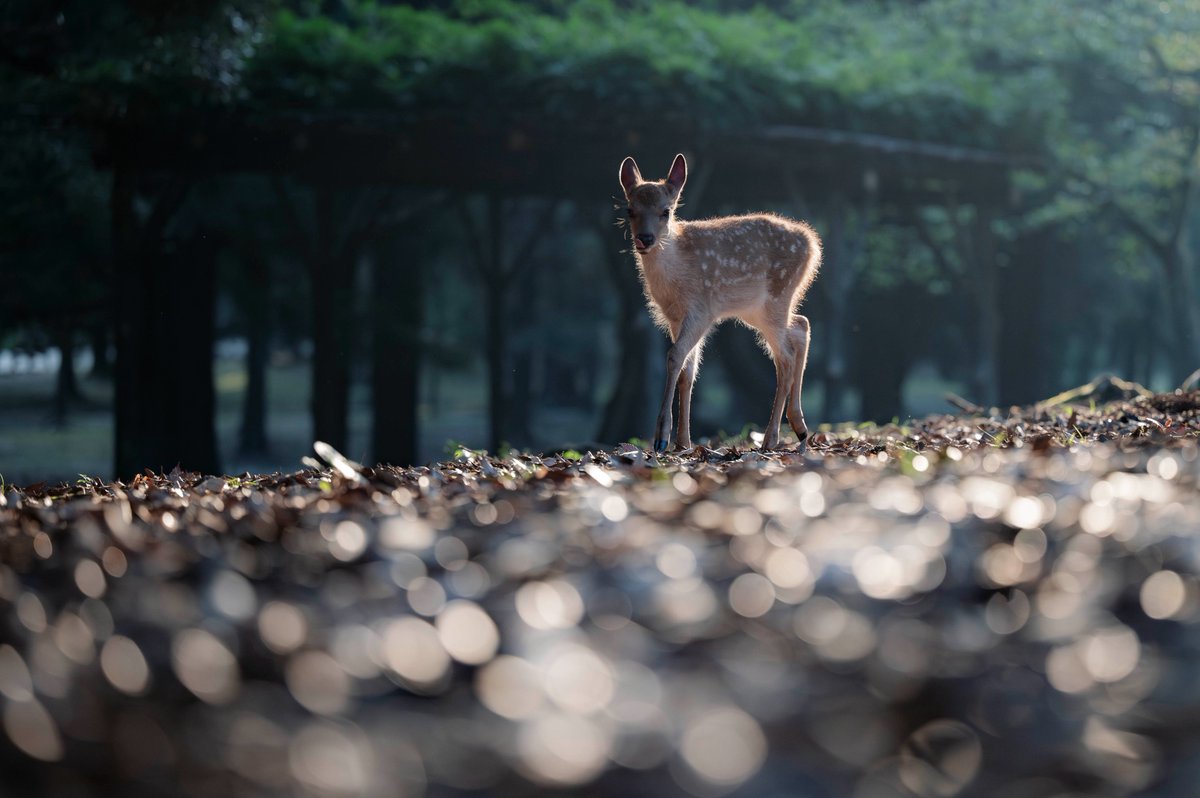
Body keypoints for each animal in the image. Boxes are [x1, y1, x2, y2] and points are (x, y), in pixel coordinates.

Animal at [618, 153, 821, 454]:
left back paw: (770, 439)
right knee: (801, 325)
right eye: (630, 210)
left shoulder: (701, 310)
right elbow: (687, 370)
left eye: (665, 211)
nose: (645, 239)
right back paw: (799, 427)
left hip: (777, 297)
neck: (675, 273)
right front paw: (683, 442)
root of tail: (813, 245)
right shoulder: (674, 317)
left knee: (785, 356)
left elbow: (674, 357)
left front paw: (662, 438)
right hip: (759, 309)